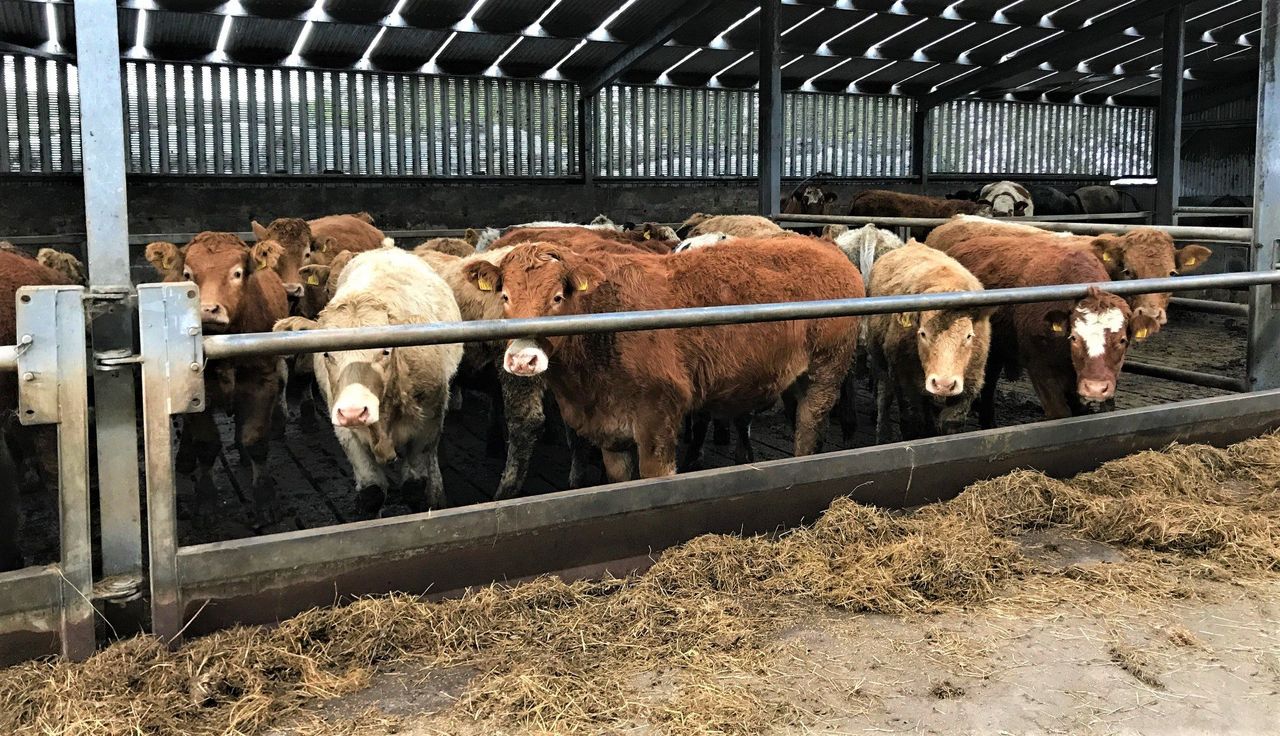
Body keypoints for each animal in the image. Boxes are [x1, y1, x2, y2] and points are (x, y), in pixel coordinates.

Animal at [145, 232, 290, 525]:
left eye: (237, 273)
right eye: (188, 273)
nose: (208, 310)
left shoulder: (263, 382)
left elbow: (256, 439)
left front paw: (265, 499)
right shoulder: (197, 392)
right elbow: (206, 443)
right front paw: (206, 499)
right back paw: (184, 459)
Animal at [274, 247, 463, 516]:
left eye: (385, 351)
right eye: (326, 353)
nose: (353, 411)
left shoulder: (425, 428)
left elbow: (414, 487)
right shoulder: (347, 434)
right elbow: (372, 493)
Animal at [462, 234, 863, 481]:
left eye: (557, 297)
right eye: (506, 296)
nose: (522, 360)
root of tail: (823, 246)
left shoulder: (658, 421)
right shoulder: (609, 433)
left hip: (826, 374)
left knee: (809, 432)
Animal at [865, 241, 992, 442]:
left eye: (969, 336)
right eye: (923, 334)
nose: (943, 384)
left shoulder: (969, 387)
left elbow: (950, 423)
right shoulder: (906, 383)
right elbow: (913, 423)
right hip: (881, 364)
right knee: (885, 397)